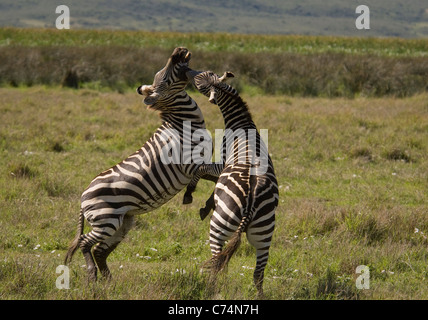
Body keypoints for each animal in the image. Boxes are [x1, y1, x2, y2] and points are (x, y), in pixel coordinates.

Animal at [64, 47, 214, 280]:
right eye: (165, 77)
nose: (179, 50)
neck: (183, 124)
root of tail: (82, 197)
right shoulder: (189, 165)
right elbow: (214, 170)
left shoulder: (197, 165)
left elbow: (217, 173)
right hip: (107, 221)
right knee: (84, 243)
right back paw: (92, 275)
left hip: (122, 223)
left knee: (99, 250)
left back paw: (109, 282)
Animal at [186, 69, 280, 296]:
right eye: (206, 72)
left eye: (199, 80)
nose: (187, 70)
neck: (243, 126)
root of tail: (251, 204)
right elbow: (210, 178)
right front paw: (208, 202)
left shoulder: (222, 162)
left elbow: (202, 170)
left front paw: (193, 195)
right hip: (264, 235)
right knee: (257, 274)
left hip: (219, 228)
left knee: (217, 264)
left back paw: (210, 290)